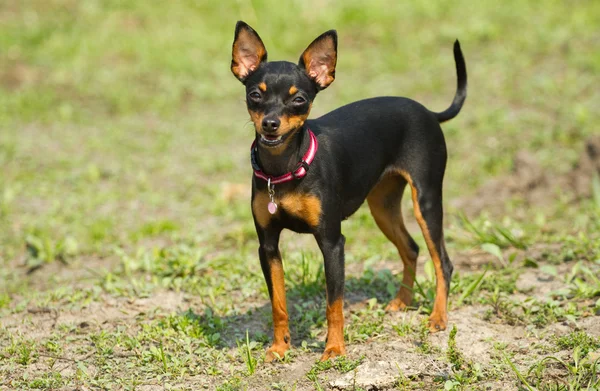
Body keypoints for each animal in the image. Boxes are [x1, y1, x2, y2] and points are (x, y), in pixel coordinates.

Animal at [231, 21, 468, 362]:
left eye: (299, 99)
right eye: (254, 95)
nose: (270, 124)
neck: (285, 168)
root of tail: (427, 112)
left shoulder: (332, 243)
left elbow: (334, 304)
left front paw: (333, 349)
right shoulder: (268, 246)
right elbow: (278, 303)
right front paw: (279, 347)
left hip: (426, 200)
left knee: (443, 262)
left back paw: (437, 317)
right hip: (382, 206)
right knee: (410, 248)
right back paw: (403, 302)